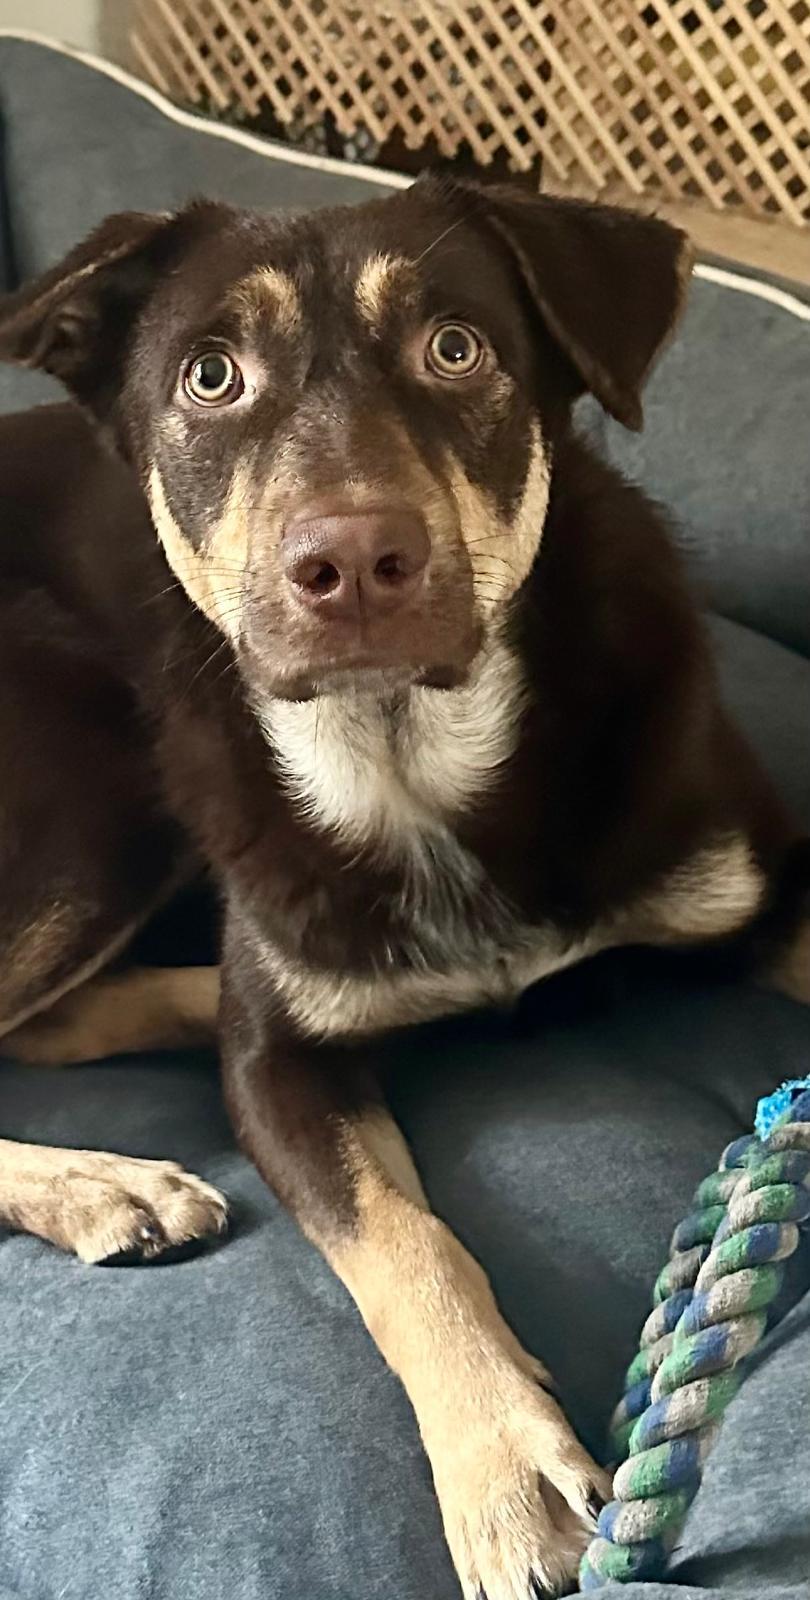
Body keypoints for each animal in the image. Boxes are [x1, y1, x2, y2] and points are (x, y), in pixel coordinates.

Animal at [0, 174, 807, 1599]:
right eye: (211, 374)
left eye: (457, 347)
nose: (355, 560)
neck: (410, 764)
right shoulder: (277, 1068)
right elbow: (400, 1242)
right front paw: (508, 1476)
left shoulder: (761, 878)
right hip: (82, 760)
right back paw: (109, 1179)